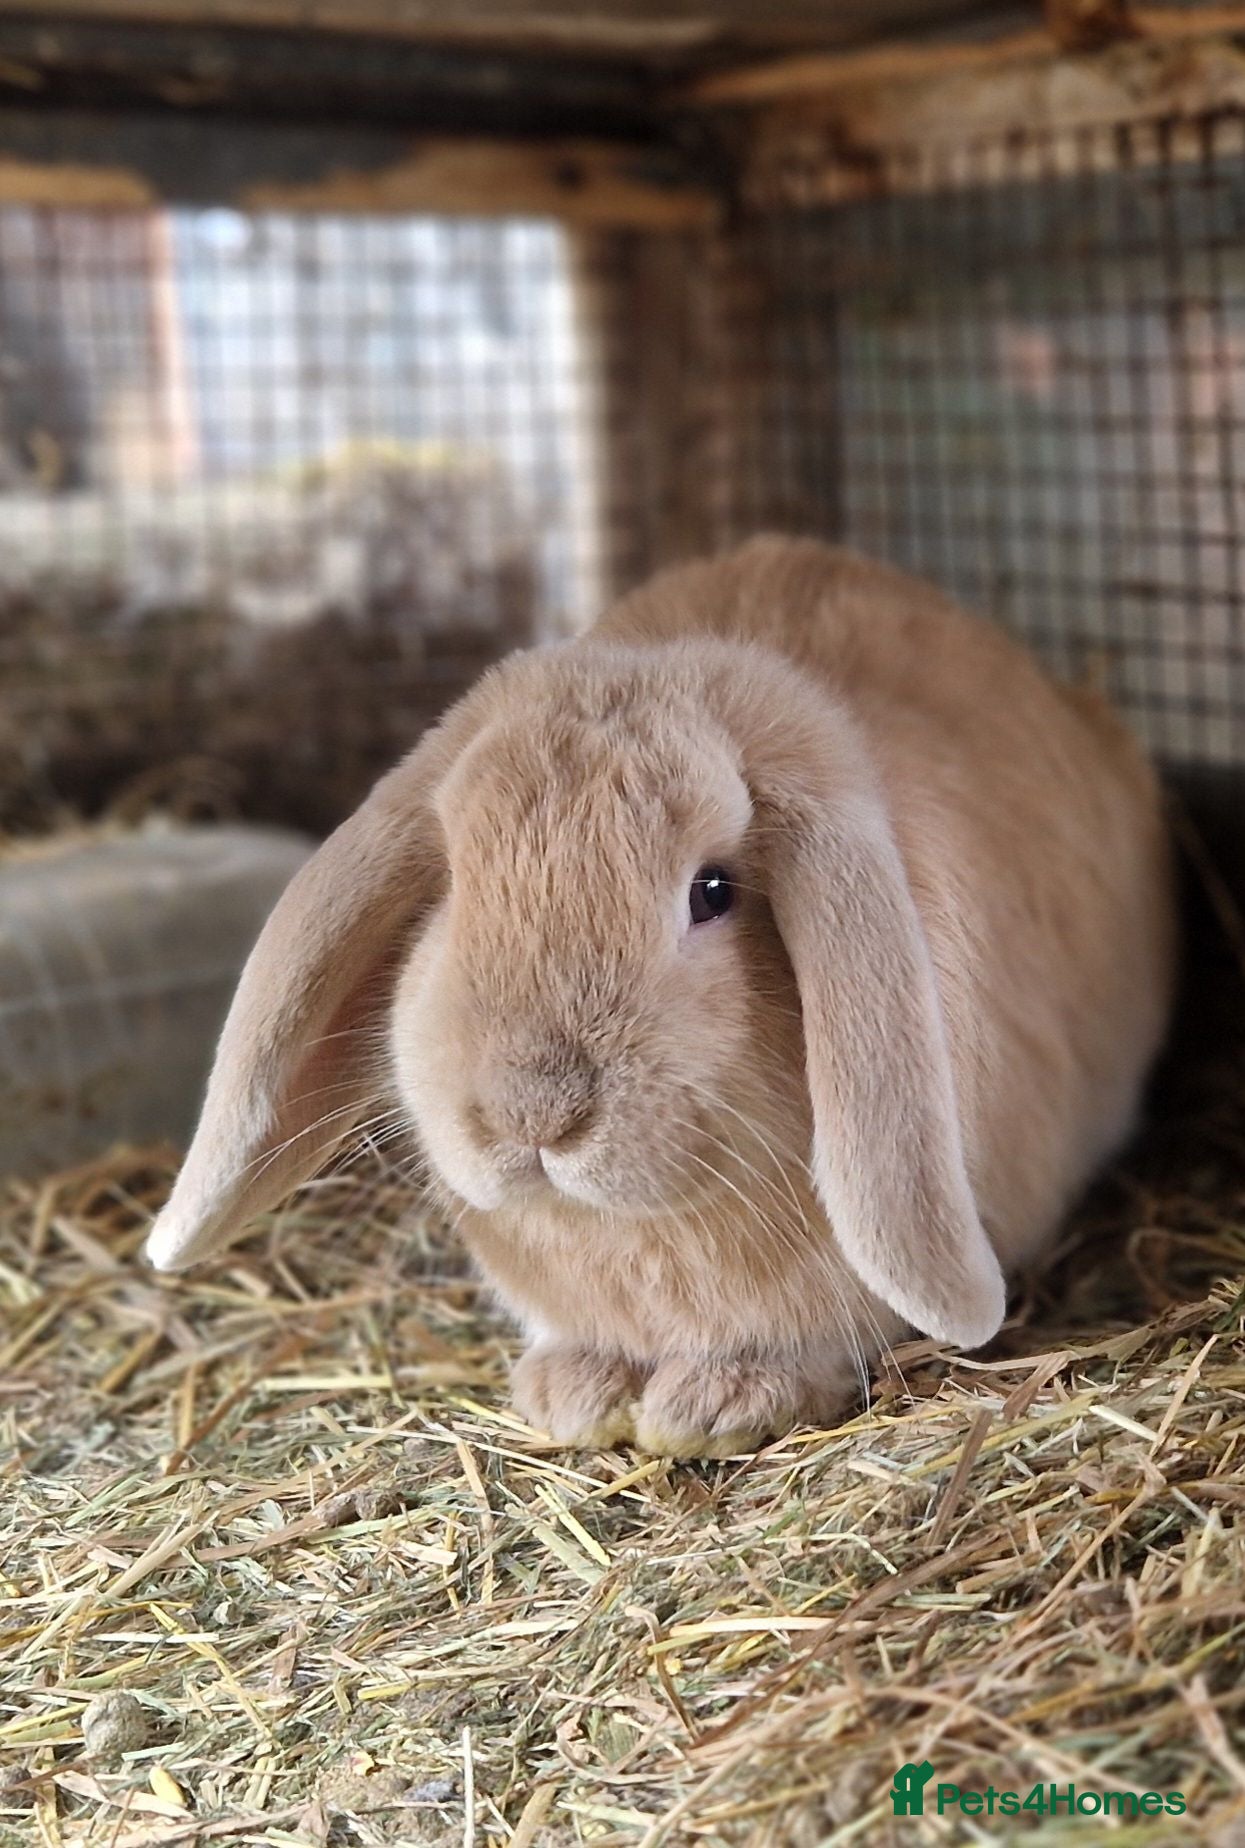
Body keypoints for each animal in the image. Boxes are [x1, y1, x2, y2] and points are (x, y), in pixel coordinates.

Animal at [145, 536, 1176, 1456]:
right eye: (453, 887)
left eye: (712, 892)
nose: (533, 1113)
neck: (634, 1233)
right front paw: (575, 1395)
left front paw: (714, 1408)